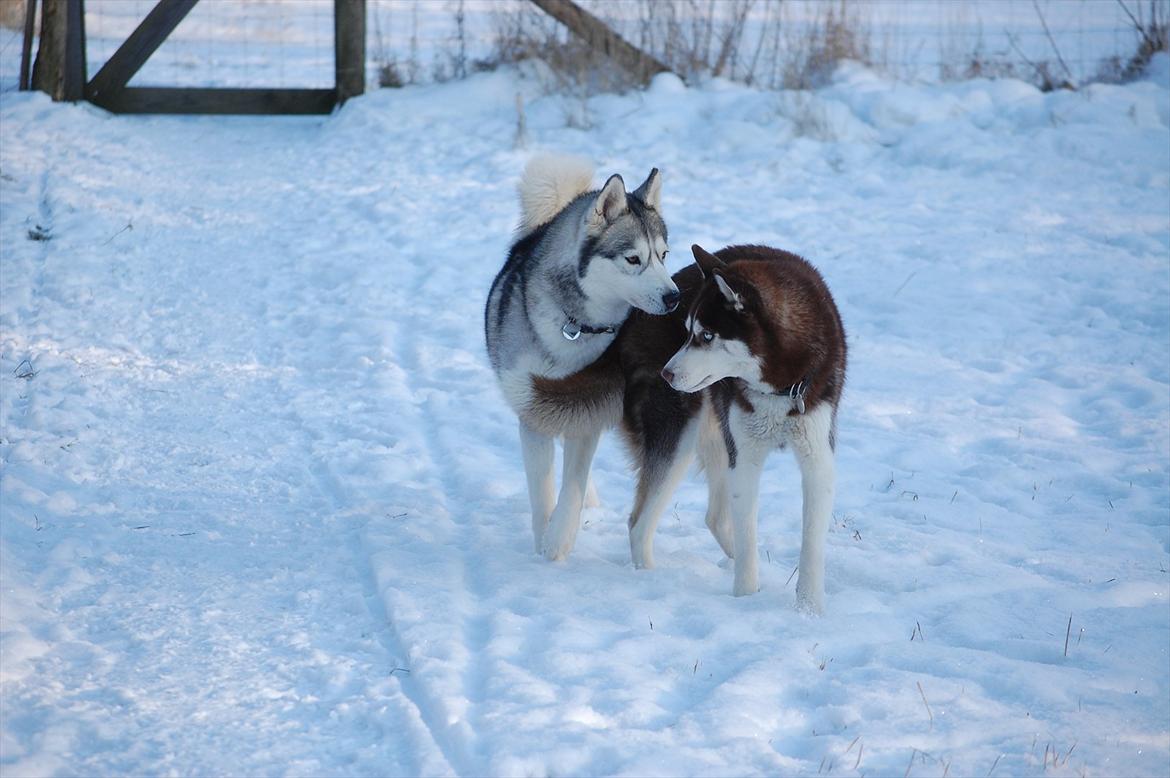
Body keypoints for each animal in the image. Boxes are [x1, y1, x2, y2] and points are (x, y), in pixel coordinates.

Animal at [484, 156, 678, 559]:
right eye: (633, 259)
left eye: (664, 256)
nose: (674, 297)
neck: (576, 326)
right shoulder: (532, 411)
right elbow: (541, 489)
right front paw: (543, 543)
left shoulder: (588, 401)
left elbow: (573, 480)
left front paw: (560, 536)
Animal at [622, 245, 842, 608]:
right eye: (687, 330)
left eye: (707, 335)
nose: (666, 373)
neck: (779, 385)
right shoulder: (746, 458)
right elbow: (747, 536)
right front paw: (746, 600)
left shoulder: (817, 457)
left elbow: (811, 545)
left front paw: (809, 610)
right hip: (682, 439)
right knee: (639, 525)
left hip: (718, 438)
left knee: (714, 518)